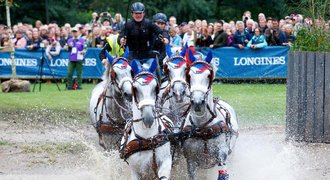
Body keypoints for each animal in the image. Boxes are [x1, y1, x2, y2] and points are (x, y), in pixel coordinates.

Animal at [182, 49, 238, 180]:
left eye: (208, 75)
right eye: (189, 75)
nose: (198, 102)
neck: (203, 127)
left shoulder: (222, 153)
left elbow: (223, 173)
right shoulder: (191, 160)